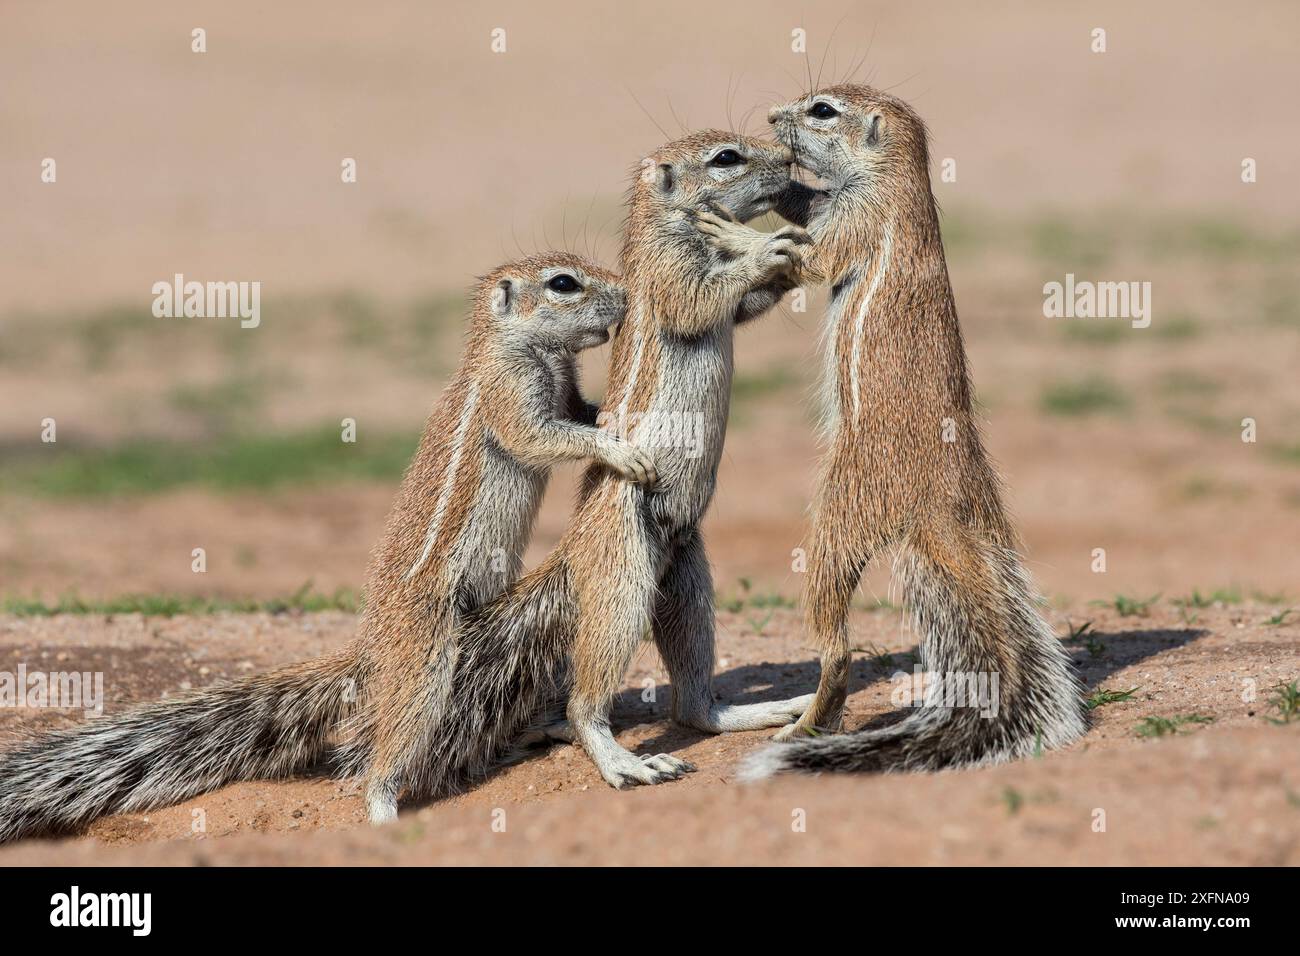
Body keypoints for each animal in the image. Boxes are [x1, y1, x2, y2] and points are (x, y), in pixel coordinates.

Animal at [0, 252, 650, 837]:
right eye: (563, 283)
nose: (625, 297)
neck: (514, 348)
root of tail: (370, 649)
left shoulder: (563, 388)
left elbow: (579, 412)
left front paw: (613, 416)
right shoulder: (511, 395)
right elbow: (542, 438)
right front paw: (619, 447)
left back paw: (538, 731)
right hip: (425, 658)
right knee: (393, 743)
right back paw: (384, 807)